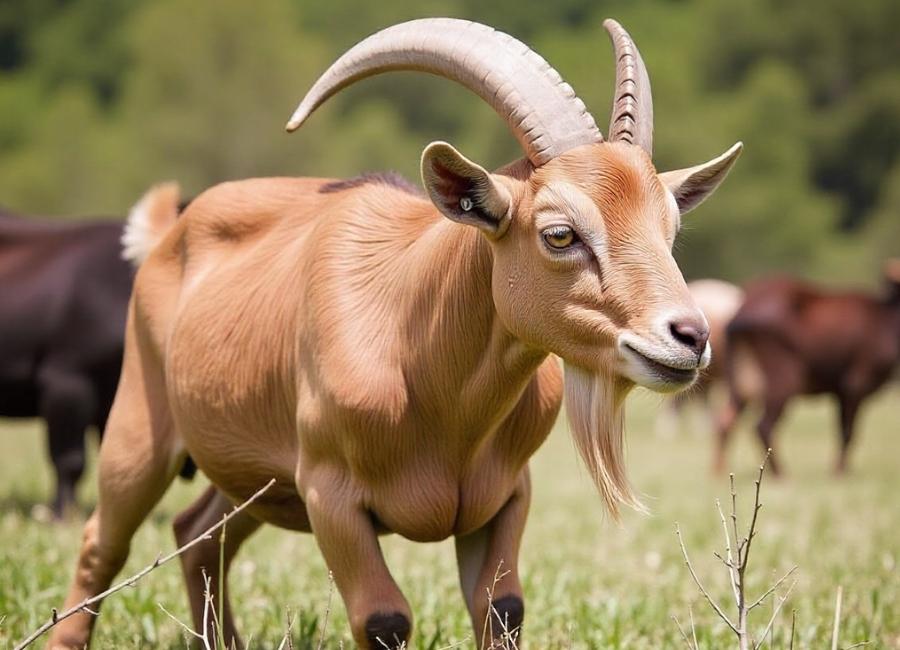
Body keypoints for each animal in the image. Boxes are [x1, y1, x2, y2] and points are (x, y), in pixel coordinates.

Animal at [49, 19, 742, 650]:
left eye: (670, 227)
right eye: (560, 233)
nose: (689, 336)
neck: (428, 376)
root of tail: (169, 231)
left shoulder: (505, 497)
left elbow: (503, 607)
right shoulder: (329, 495)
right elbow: (384, 617)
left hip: (254, 476)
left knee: (198, 536)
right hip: (139, 429)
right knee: (101, 541)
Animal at [716, 261, 900, 475]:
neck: (886, 321)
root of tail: (741, 311)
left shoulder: (840, 391)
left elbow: (842, 430)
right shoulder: (856, 384)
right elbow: (848, 432)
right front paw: (839, 471)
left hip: (741, 376)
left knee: (725, 420)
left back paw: (719, 470)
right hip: (783, 376)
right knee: (763, 425)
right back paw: (780, 473)